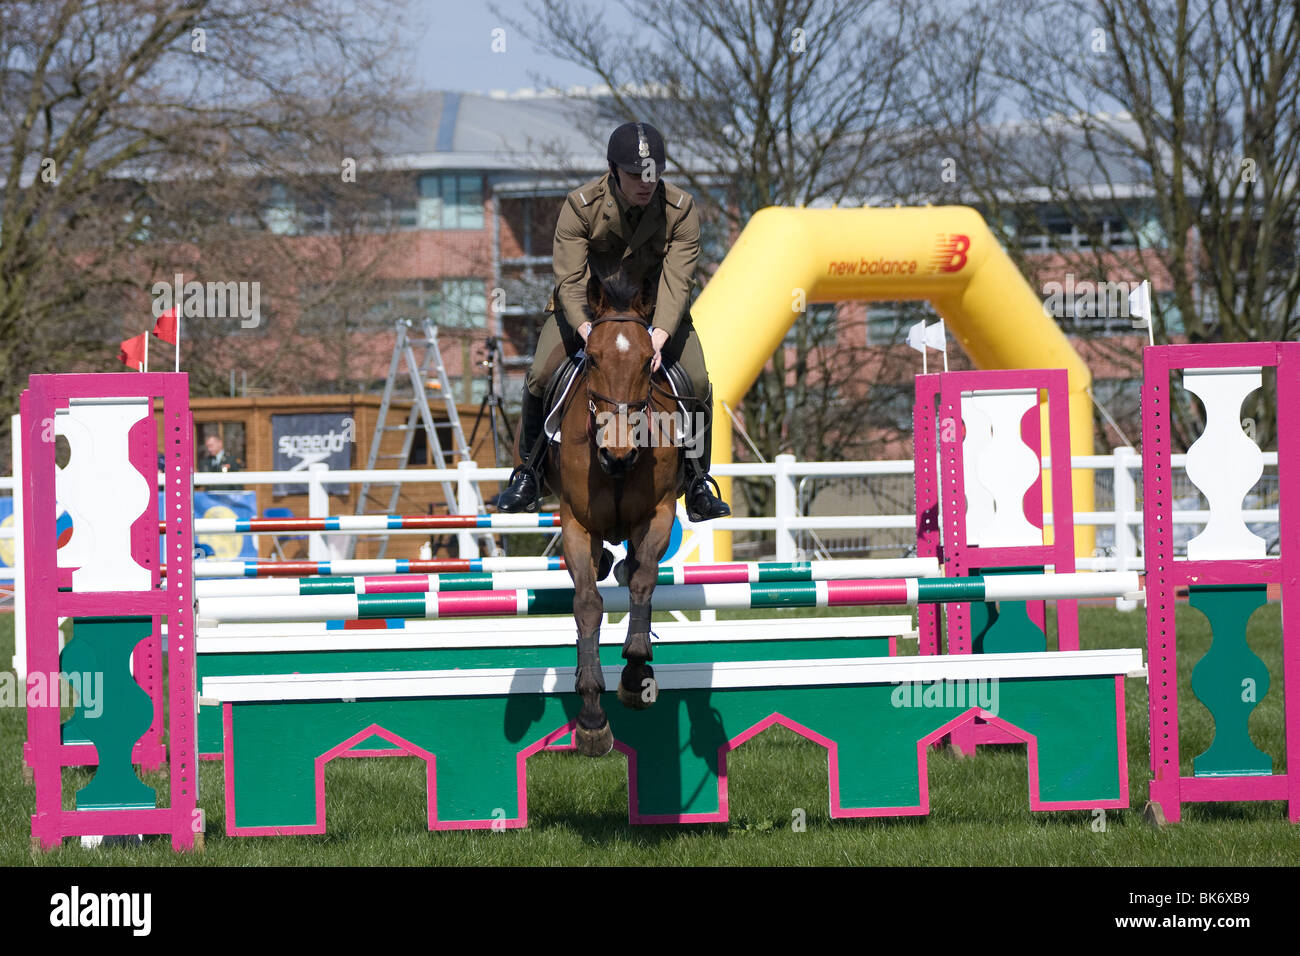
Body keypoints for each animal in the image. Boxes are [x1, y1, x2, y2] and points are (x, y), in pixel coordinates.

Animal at [538, 273, 696, 759]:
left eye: (648, 362)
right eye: (592, 359)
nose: (618, 455)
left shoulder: (658, 512)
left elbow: (643, 581)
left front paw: (635, 675)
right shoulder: (576, 523)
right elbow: (587, 604)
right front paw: (592, 718)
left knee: (630, 568)